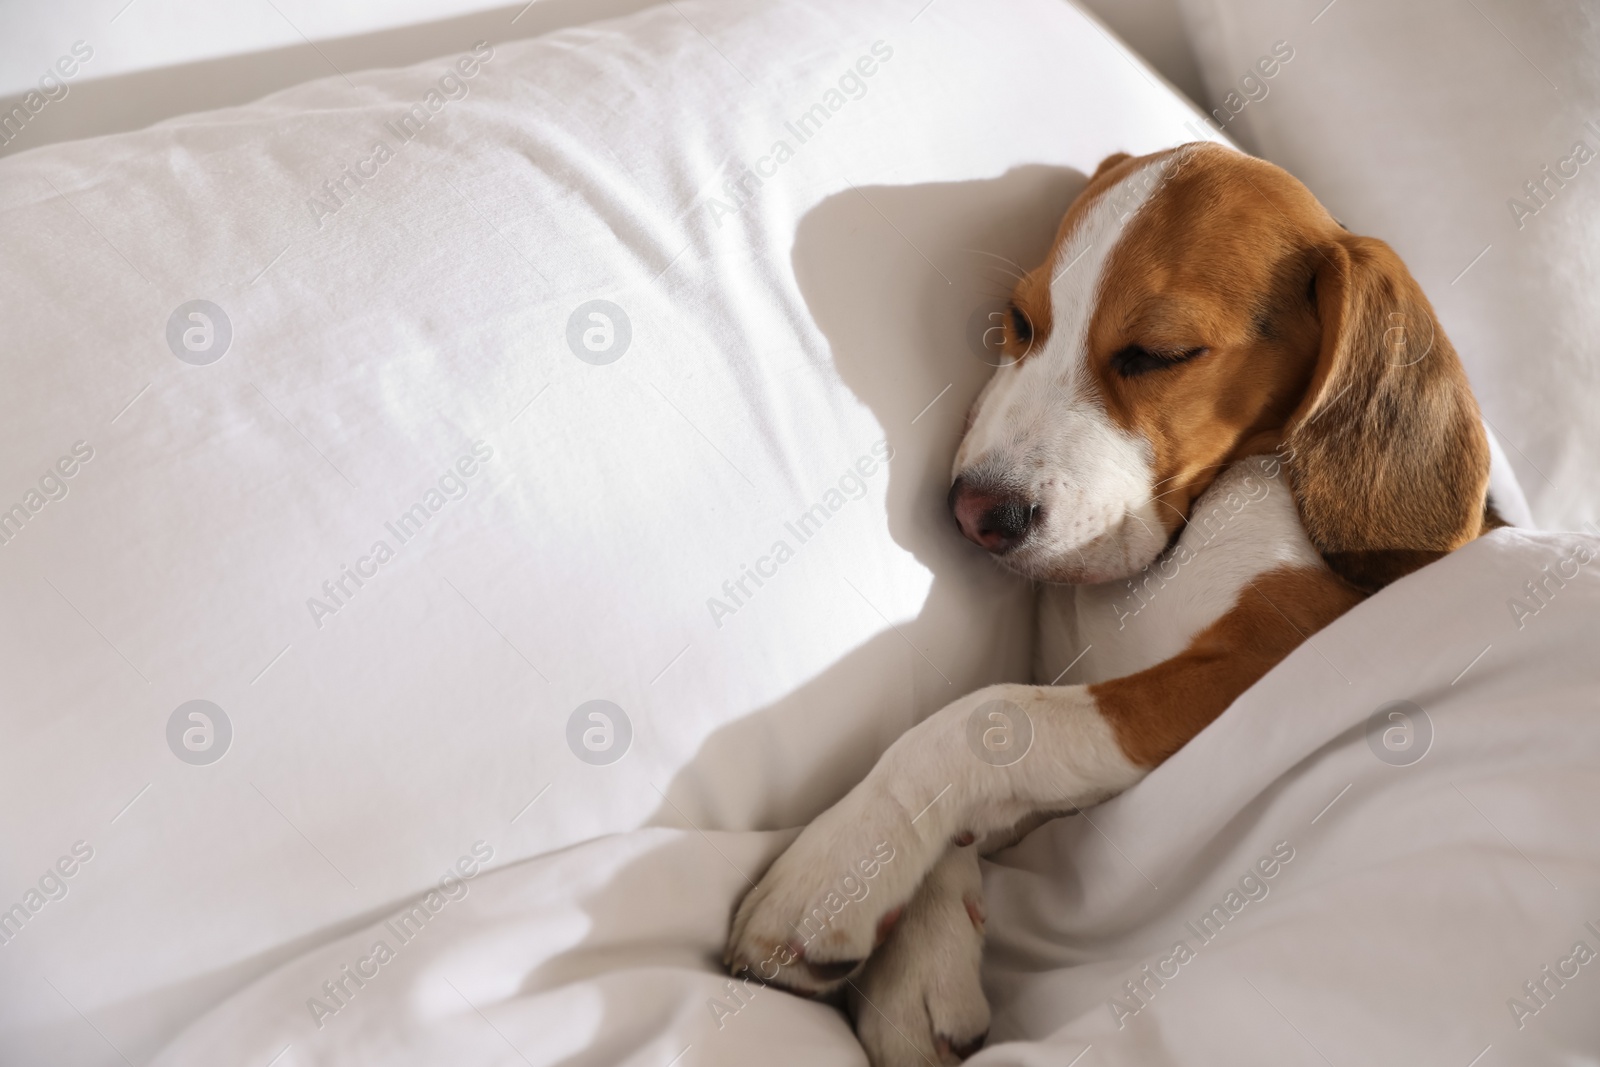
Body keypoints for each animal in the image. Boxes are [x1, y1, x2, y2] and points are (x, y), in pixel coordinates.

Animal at [720, 143, 1491, 1067]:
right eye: (1019, 322)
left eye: (1160, 353)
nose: (975, 511)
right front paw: (920, 965)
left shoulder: (1257, 660)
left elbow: (985, 717)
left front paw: (841, 865)